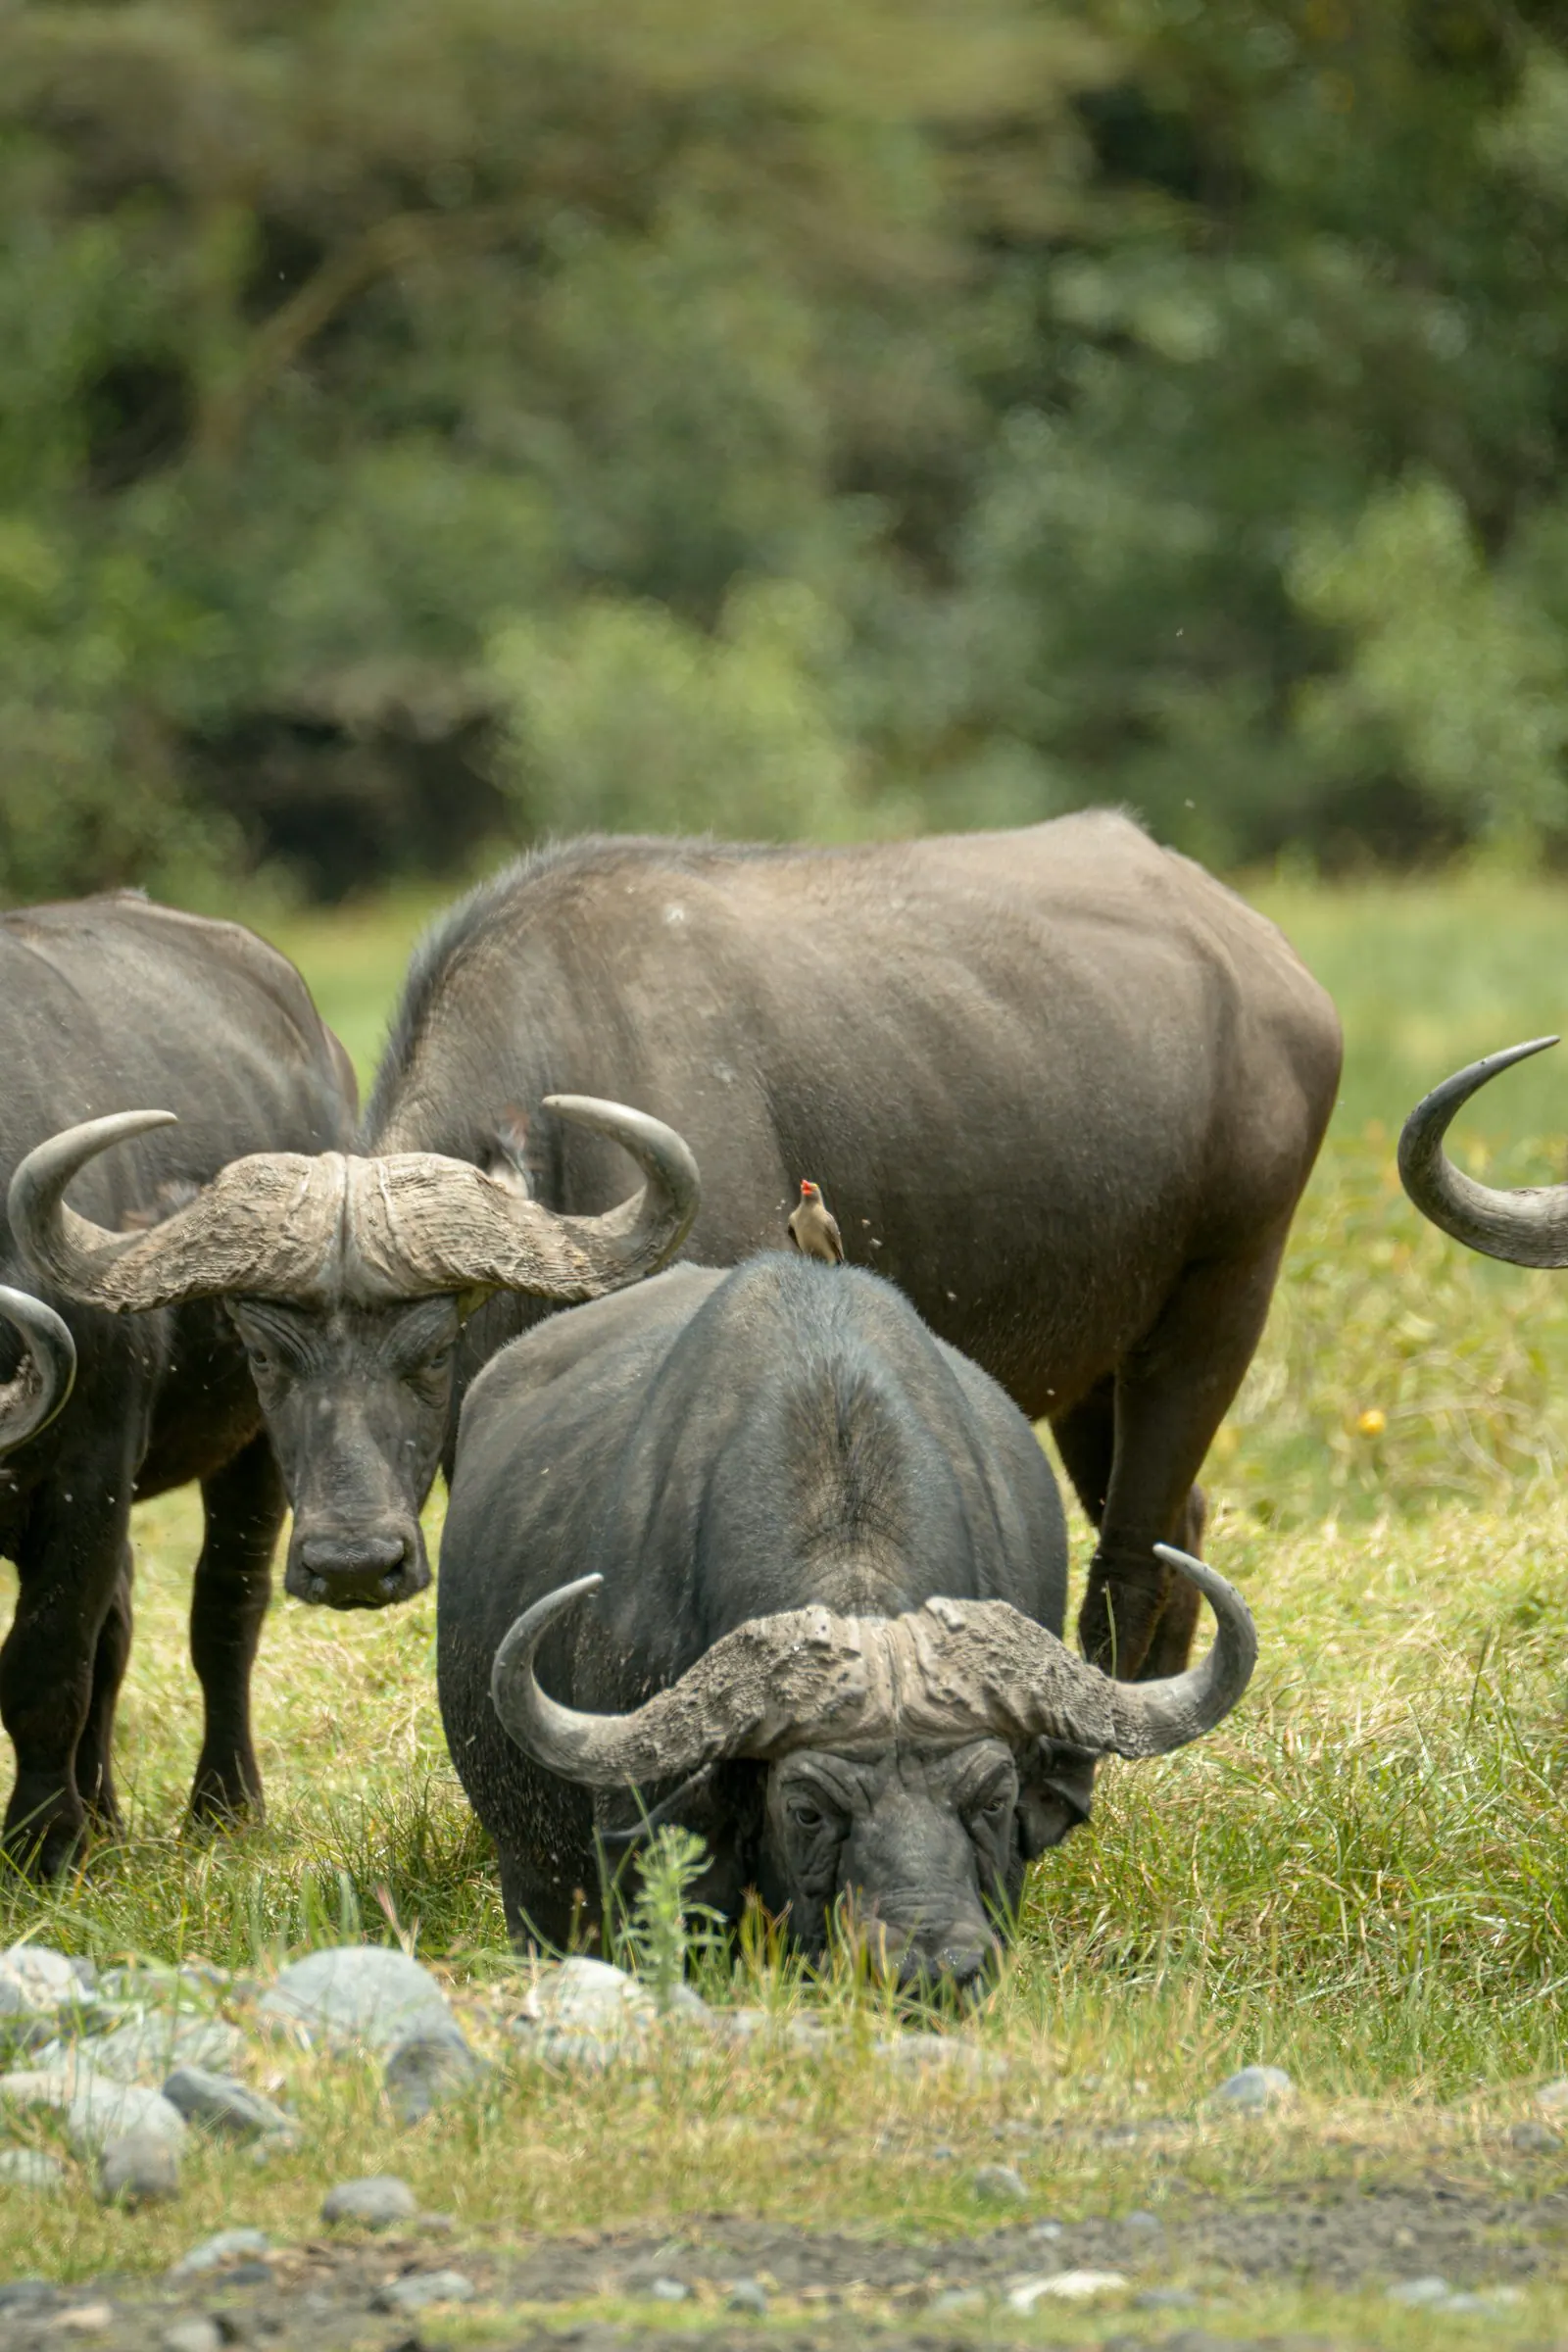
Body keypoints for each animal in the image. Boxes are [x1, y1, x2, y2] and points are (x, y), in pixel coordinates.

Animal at [15, 814, 1337, 1680]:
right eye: (262, 1354)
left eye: (430, 1346)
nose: (350, 1562)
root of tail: (1271, 971)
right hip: (1096, 1361)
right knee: (1175, 1534)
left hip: (1220, 1300)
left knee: (1128, 1560)